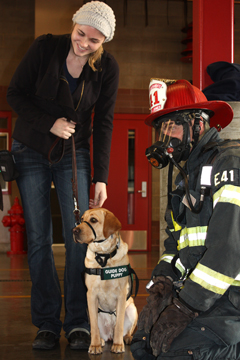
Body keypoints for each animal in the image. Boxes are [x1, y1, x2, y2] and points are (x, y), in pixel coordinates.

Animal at [72, 208, 138, 354]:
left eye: (93, 220)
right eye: (81, 219)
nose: (74, 231)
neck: (104, 256)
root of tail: (109, 335)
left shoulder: (121, 295)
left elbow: (119, 325)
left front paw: (118, 345)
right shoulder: (91, 295)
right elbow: (94, 327)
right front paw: (95, 345)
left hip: (132, 309)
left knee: (125, 330)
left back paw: (127, 338)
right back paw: (101, 341)